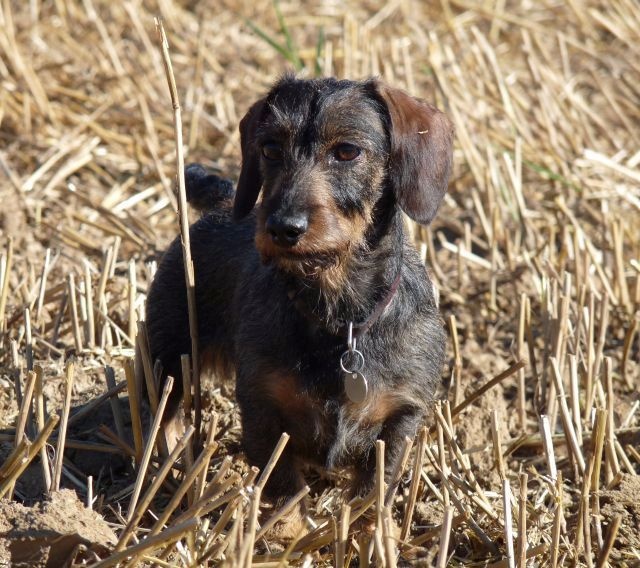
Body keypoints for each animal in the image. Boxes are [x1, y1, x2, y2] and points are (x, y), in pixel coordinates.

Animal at [142, 75, 452, 536]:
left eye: (347, 151)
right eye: (270, 148)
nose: (282, 227)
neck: (339, 318)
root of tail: (224, 201)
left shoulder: (401, 417)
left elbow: (374, 491)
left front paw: (372, 536)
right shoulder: (263, 410)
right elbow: (285, 489)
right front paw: (288, 536)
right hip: (171, 354)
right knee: (166, 410)